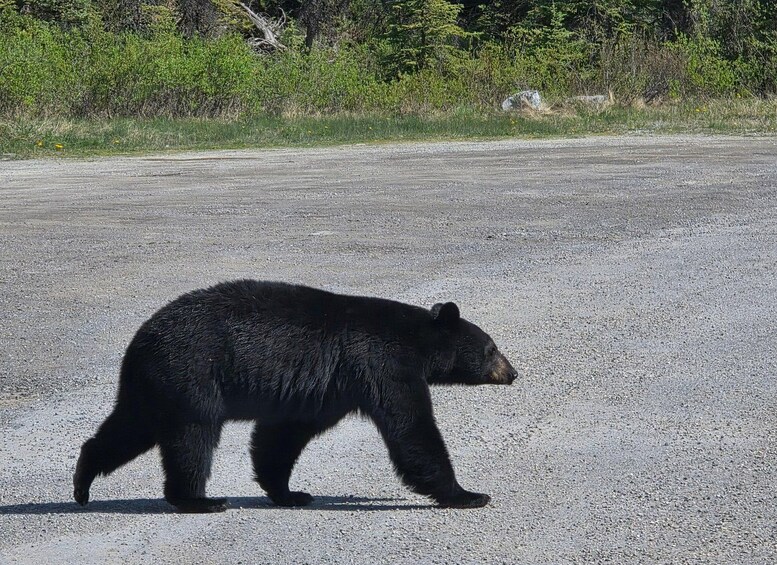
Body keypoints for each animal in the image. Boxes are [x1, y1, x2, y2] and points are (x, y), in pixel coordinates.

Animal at [73, 280, 517, 512]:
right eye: (491, 348)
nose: (513, 372)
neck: (417, 340)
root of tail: (141, 339)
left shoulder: (323, 389)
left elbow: (283, 435)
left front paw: (289, 492)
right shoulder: (382, 366)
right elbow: (411, 429)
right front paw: (468, 494)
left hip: (155, 386)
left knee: (128, 428)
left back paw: (82, 482)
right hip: (192, 376)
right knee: (192, 437)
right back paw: (199, 500)